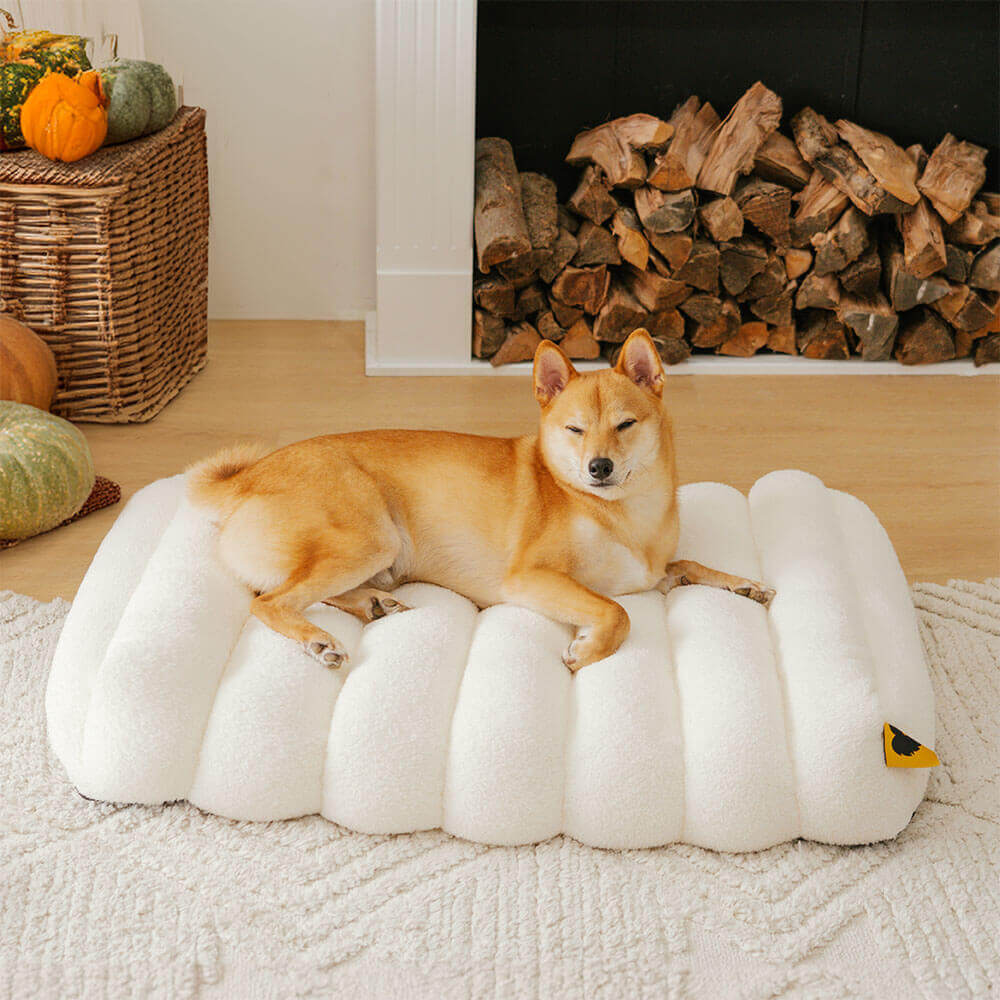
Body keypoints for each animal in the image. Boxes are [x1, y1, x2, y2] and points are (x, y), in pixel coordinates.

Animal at [191, 330, 776, 672]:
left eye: (625, 425)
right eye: (575, 430)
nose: (599, 467)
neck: (626, 516)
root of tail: (247, 477)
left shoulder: (655, 574)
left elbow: (689, 564)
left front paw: (743, 585)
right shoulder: (530, 579)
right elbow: (617, 612)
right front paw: (586, 651)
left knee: (290, 590)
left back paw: (372, 604)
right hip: (371, 537)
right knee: (270, 600)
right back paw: (319, 638)